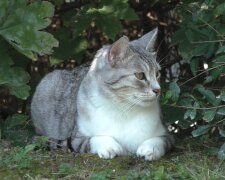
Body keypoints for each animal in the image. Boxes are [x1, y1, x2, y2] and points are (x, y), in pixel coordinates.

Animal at [30, 28, 174, 160]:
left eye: (157, 73)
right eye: (140, 75)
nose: (158, 90)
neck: (123, 109)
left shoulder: (167, 136)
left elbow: (159, 141)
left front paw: (149, 148)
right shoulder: (77, 138)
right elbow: (93, 139)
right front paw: (109, 146)